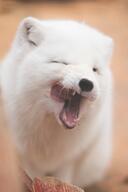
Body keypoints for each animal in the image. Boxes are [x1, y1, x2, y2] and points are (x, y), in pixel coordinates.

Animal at [0, 17, 113, 187]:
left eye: (94, 69)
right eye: (61, 62)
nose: (87, 83)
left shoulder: (68, 160)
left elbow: (64, 180)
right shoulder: (26, 158)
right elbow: (32, 179)